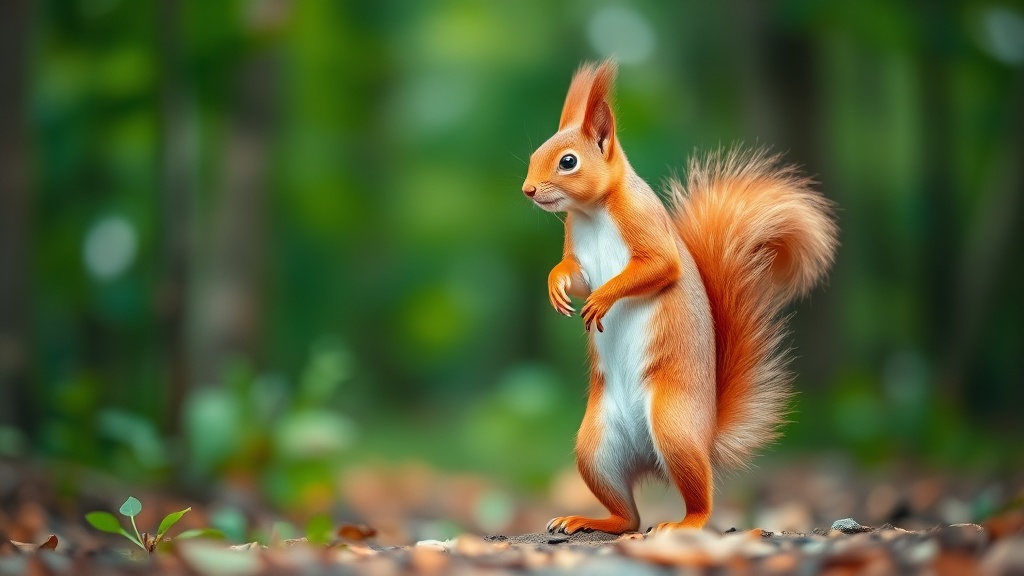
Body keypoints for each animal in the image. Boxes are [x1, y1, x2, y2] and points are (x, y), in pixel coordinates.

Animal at [521, 59, 838, 534]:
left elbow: (659, 268)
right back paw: (590, 519)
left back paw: (683, 524)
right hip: (594, 449)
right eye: (532, 157)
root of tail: (704, 436)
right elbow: (574, 276)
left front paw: (603, 300)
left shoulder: (647, 228)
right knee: (629, 516)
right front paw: (555, 286)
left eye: (568, 161)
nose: (528, 190)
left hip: (673, 429)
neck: (593, 212)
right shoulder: (577, 249)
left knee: (697, 503)